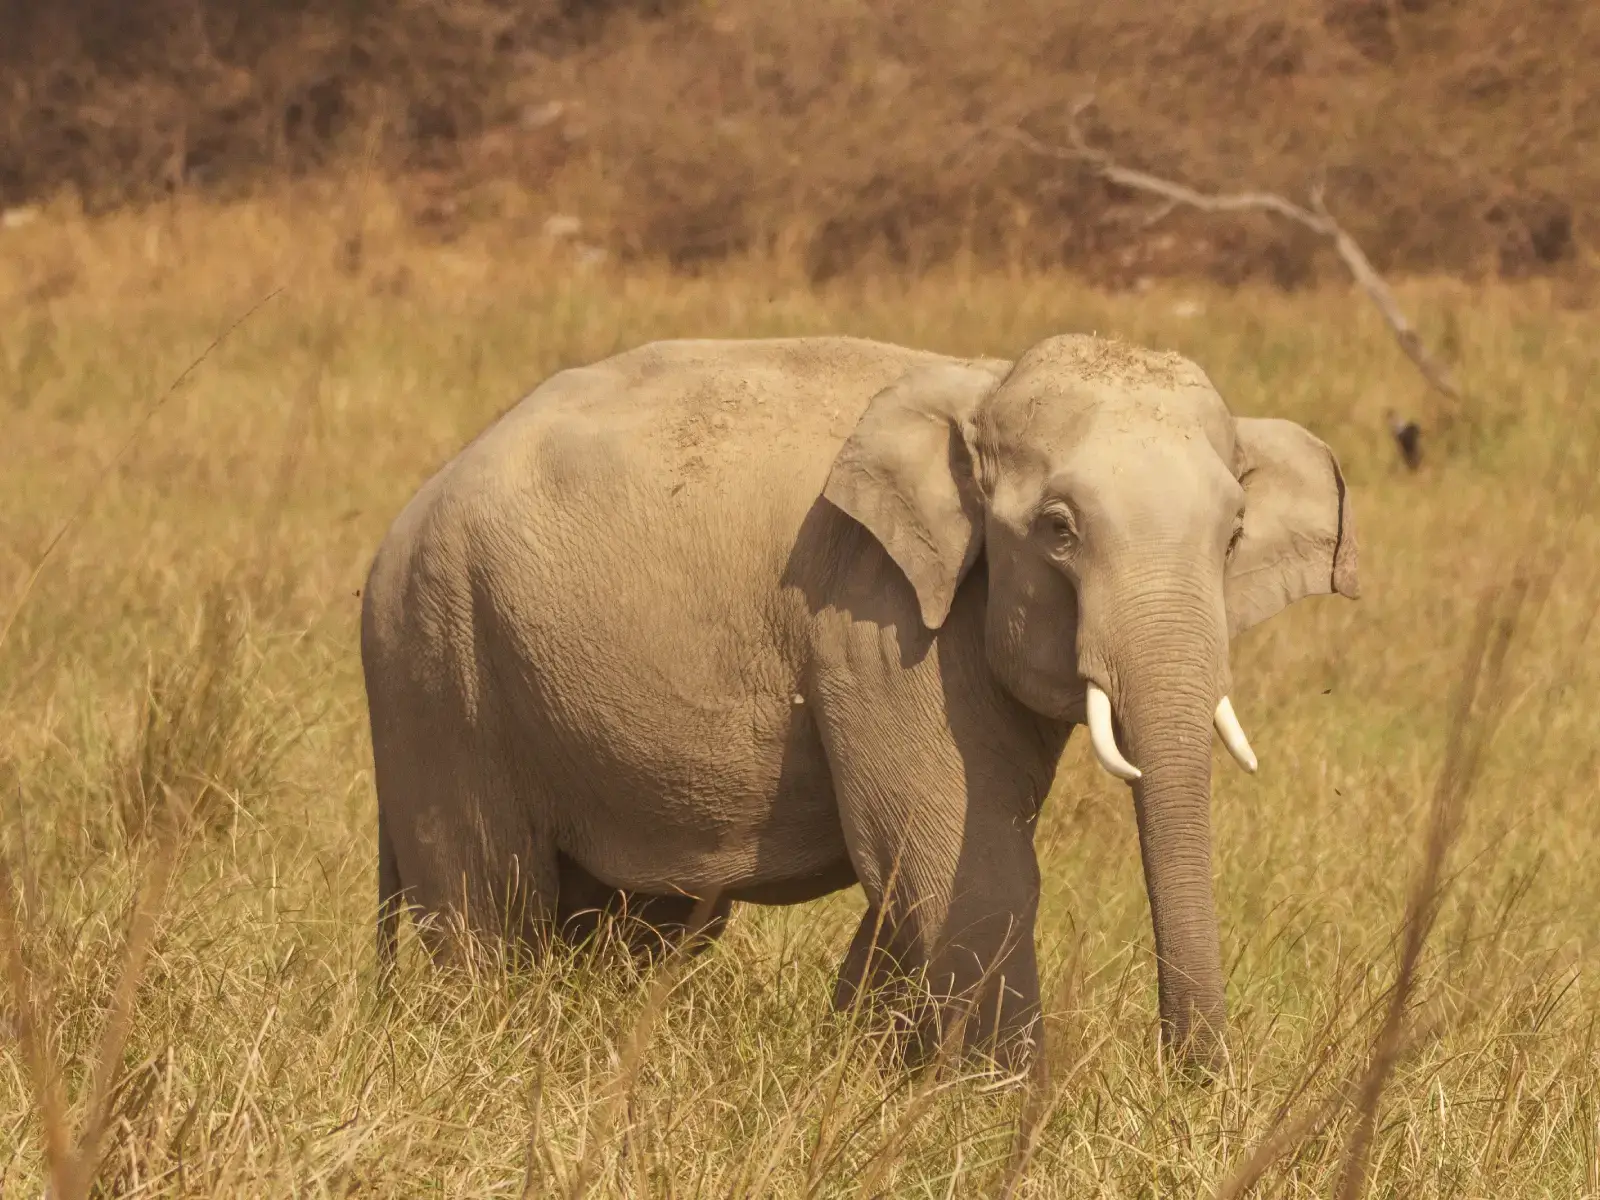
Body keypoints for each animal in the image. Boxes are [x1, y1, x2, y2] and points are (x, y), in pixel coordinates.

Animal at [356, 331, 1356, 1068]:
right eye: (1059, 530)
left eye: (1233, 534)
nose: (1194, 1083)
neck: (982, 381)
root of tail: (396, 529)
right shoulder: (878, 617)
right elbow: (964, 864)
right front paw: (1007, 1115)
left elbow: (922, 867)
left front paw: (868, 1072)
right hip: (438, 663)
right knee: (482, 900)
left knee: (628, 922)